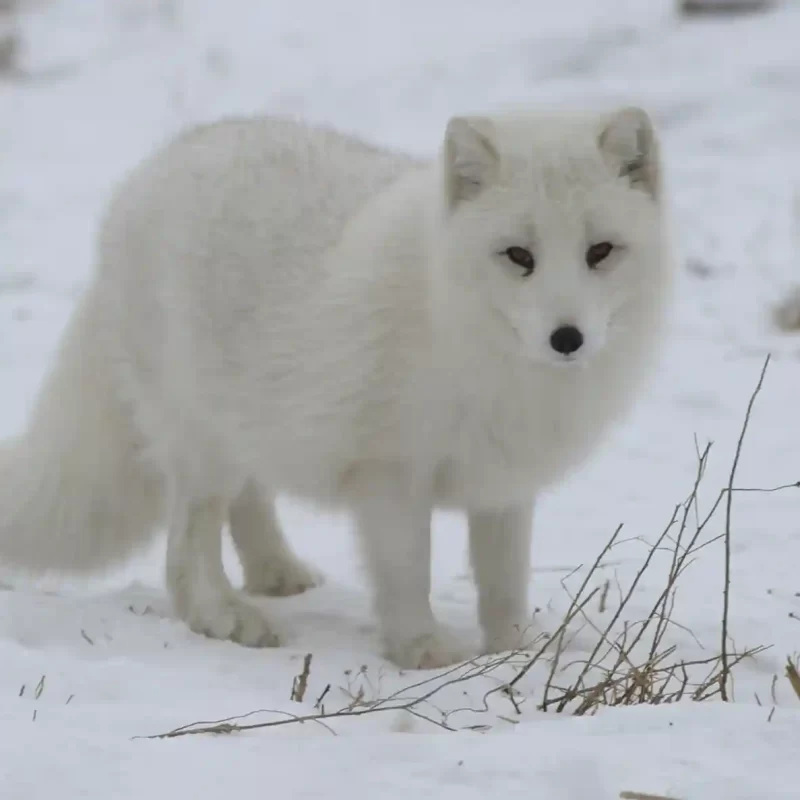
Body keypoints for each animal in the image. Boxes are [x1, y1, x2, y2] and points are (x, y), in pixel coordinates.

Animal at [0, 106, 672, 668]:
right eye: (518, 256)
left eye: (600, 251)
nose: (567, 338)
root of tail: (149, 171)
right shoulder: (390, 473)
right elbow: (408, 571)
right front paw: (422, 651)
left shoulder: (504, 482)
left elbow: (504, 580)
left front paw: (516, 653)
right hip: (201, 445)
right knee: (186, 551)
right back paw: (224, 616)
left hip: (251, 421)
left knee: (248, 499)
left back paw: (276, 573)